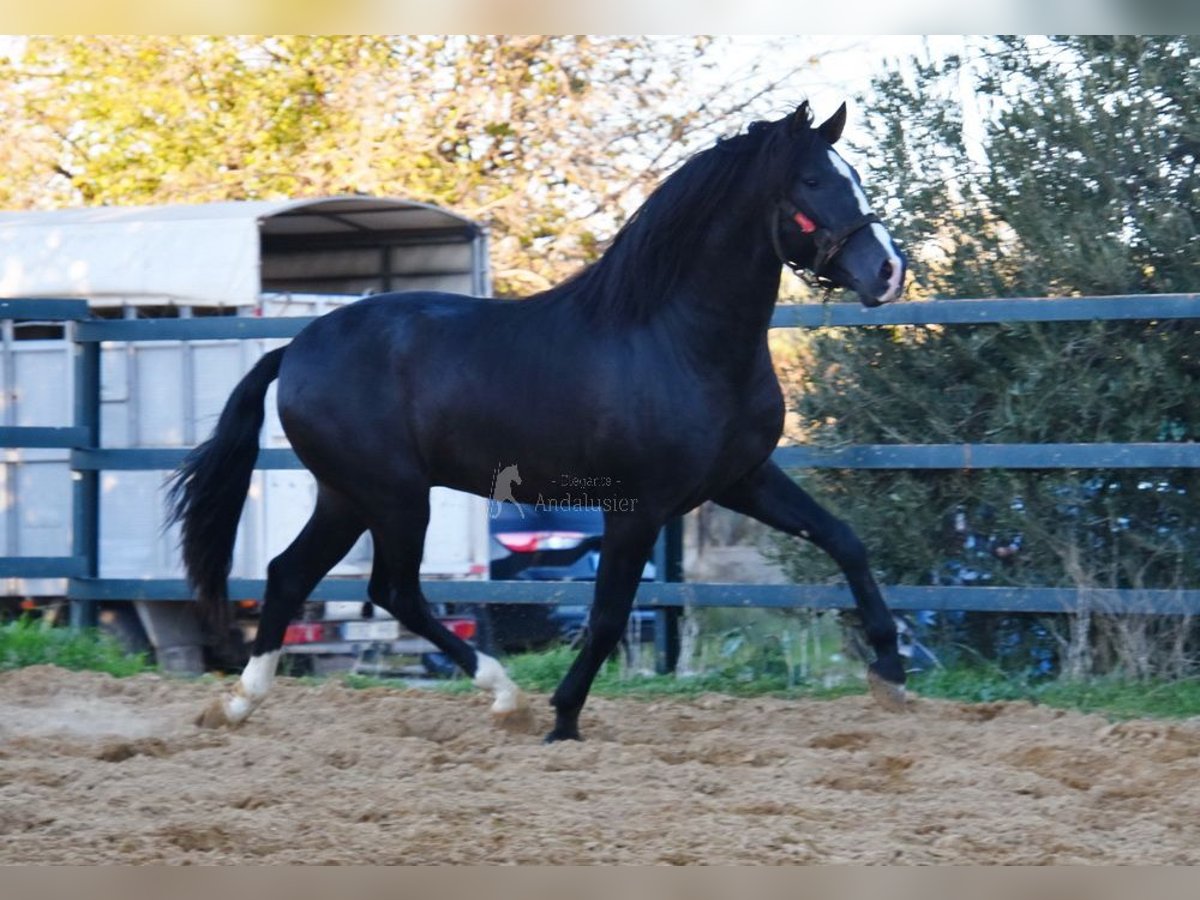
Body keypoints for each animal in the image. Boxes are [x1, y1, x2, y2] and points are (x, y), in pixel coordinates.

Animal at [171, 103, 907, 739]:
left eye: (853, 173)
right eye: (812, 180)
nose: (889, 270)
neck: (675, 338)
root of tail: (295, 349)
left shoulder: (742, 479)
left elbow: (846, 541)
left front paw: (892, 677)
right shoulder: (637, 508)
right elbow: (608, 615)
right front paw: (563, 718)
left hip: (347, 496)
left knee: (290, 574)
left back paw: (237, 705)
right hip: (393, 495)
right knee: (393, 588)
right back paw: (506, 698)